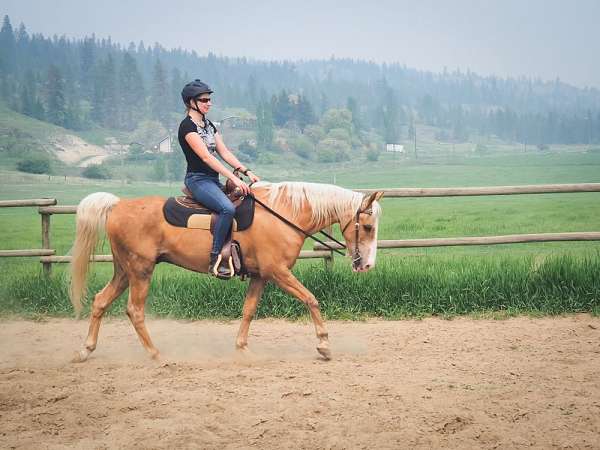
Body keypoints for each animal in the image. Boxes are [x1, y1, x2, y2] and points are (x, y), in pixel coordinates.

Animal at [69, 181, 380, 360]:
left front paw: (242, 348)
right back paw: (155, 354)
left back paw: (85, 349)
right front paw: (324, 345)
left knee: (100, 301)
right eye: (366, 226)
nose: (366, 265)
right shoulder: (278, 272)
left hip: (124, 271)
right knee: (134, 310)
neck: (283, 214)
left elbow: (249, 310)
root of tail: (118, 205)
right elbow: (311, 299)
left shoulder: (260, 276)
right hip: (140, 271)